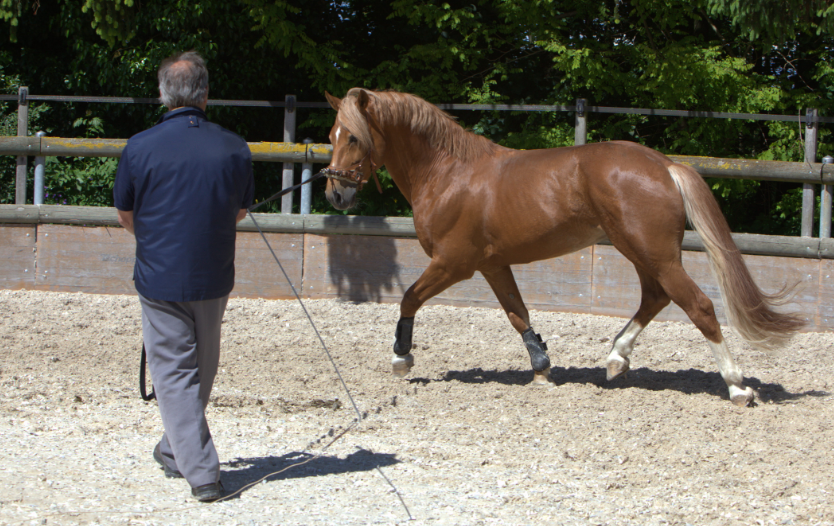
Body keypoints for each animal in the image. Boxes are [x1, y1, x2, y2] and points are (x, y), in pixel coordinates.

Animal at [321, 88, 804, 407]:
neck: (449, 173)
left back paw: (737, 386)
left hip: (652, 252)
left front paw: (401, 358)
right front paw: (541, 367)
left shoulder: (453, 263)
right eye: (331, 134)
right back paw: (615, 359)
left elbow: (408, 298)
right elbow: (518, 314)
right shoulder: (493, 265)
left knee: (698, 305)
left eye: (354, 137)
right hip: (640, 252)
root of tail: (664, 165)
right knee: (656, 297)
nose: (335, 194)